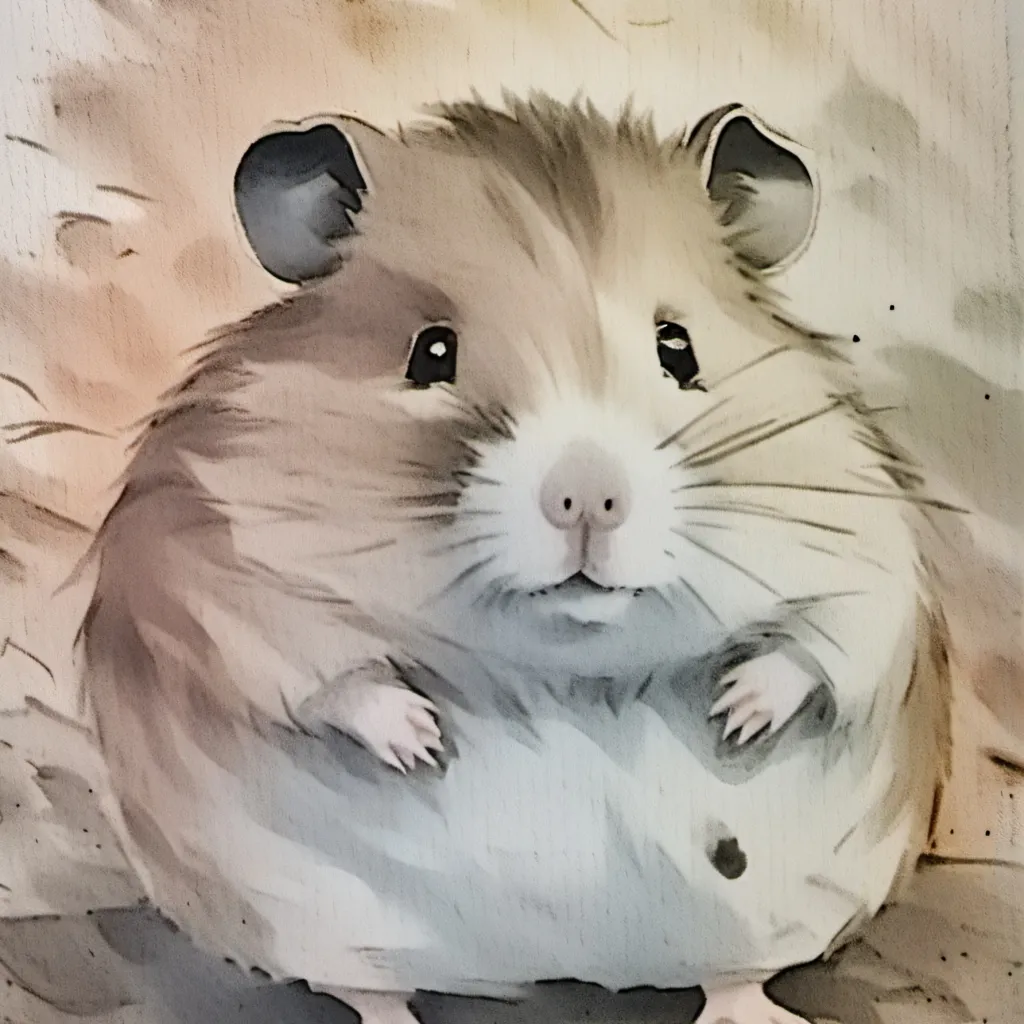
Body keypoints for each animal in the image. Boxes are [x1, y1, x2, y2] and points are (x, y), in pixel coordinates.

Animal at [76, 93, 952, 1024]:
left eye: (678, 348)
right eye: (431, 353)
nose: (588, 501)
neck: (565, 658)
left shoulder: (868, 547)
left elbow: (826, 641)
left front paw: (734, 714)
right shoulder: (209, 571)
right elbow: (322, 668)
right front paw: (422, 740)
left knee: (736, 978)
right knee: (367, 990)